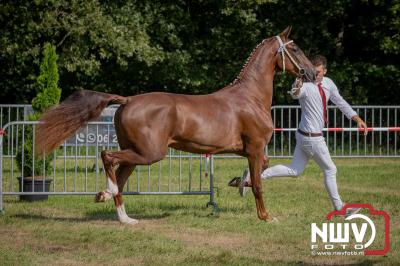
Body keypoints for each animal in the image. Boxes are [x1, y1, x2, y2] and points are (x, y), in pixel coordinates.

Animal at [35, 27, 316, 223]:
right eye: (296, 49)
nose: (312, 73)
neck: (250, 97)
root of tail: (127, 100)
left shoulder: (251, 151)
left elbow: (262, 169)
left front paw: (238, 181)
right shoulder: (255, 149)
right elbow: (258, 184)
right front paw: (266, 217)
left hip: (137, 153)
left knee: (120, 176)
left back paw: (123, 216)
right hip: (149, 153)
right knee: (108, 157)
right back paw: (107, 193)